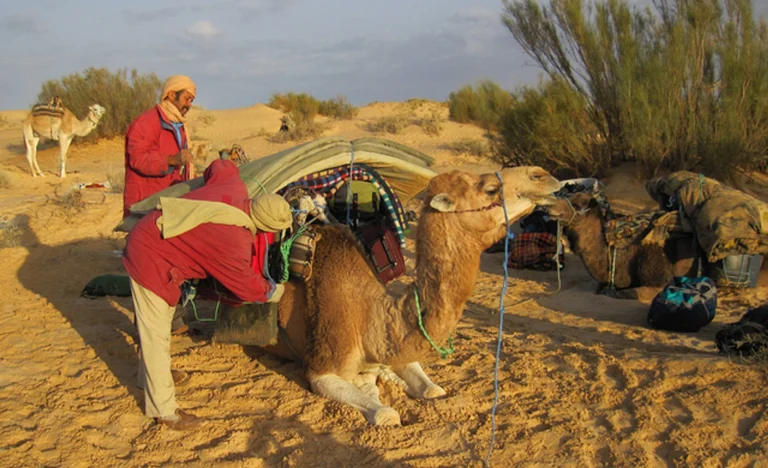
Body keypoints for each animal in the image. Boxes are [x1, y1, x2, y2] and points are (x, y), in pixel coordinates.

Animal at [258, 166, 560, 426]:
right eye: (490, 189)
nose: (543, 175)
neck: (369, 315)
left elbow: (432, 390)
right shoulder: (322, 369)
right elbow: (385, 414)